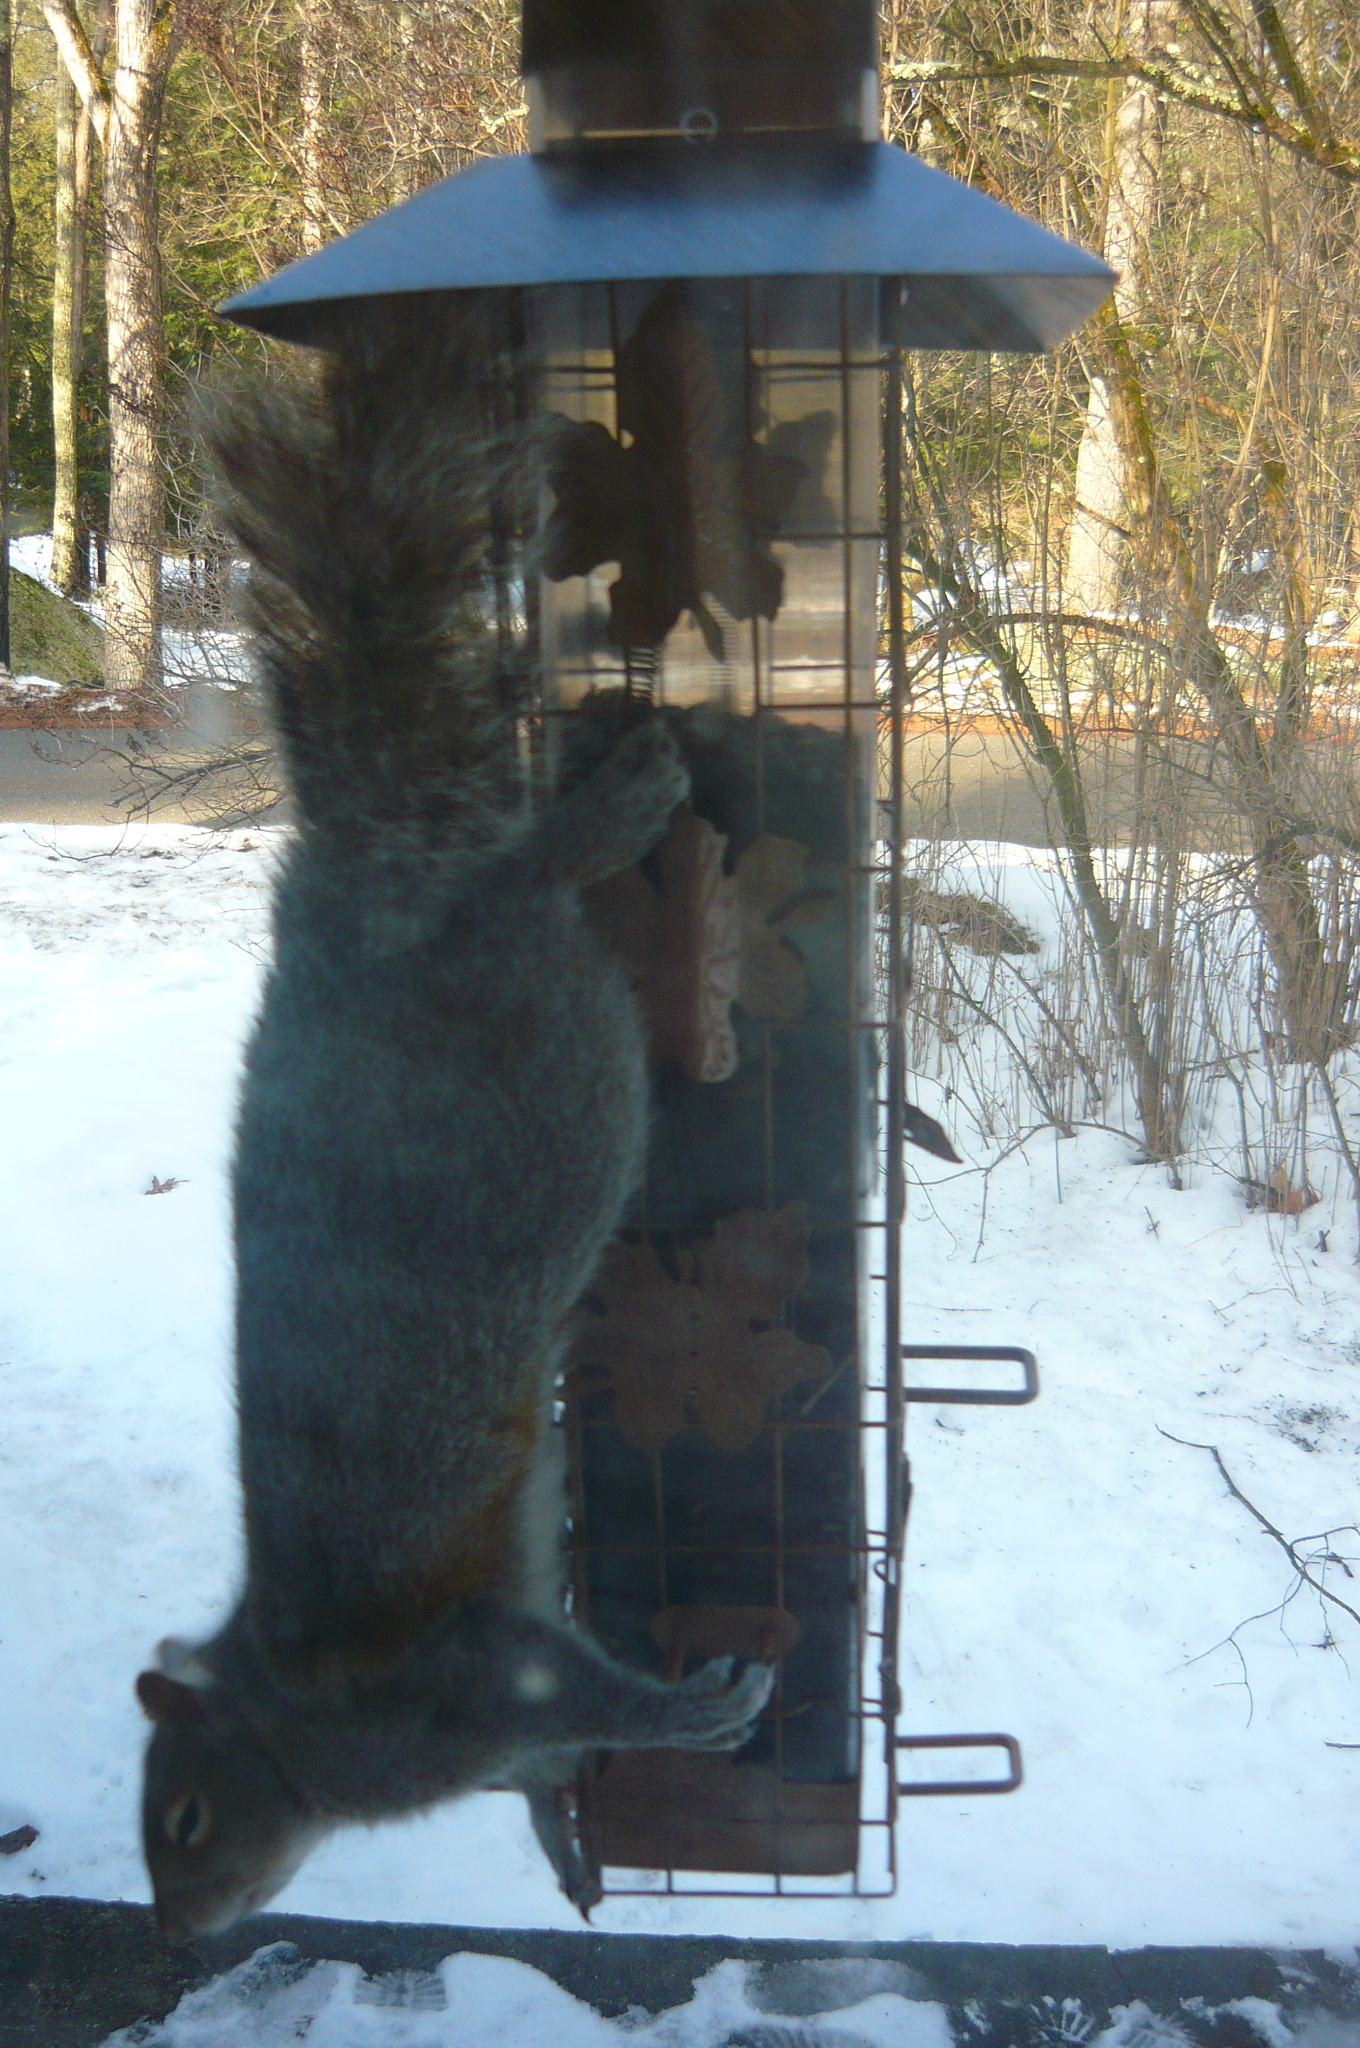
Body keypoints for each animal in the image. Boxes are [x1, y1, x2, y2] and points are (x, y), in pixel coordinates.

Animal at [136, 305, 773, 1942]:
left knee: (522, 883)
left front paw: (702, 1708)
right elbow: (543, 1776)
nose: (175, 1931)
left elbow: (575, 1698)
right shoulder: (493, 1725)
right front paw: (569, 1855)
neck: (293, 1724)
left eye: (181, 1813)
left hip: (538, 1051)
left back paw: (607, 814)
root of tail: (361, 906)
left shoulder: (462, 1686)